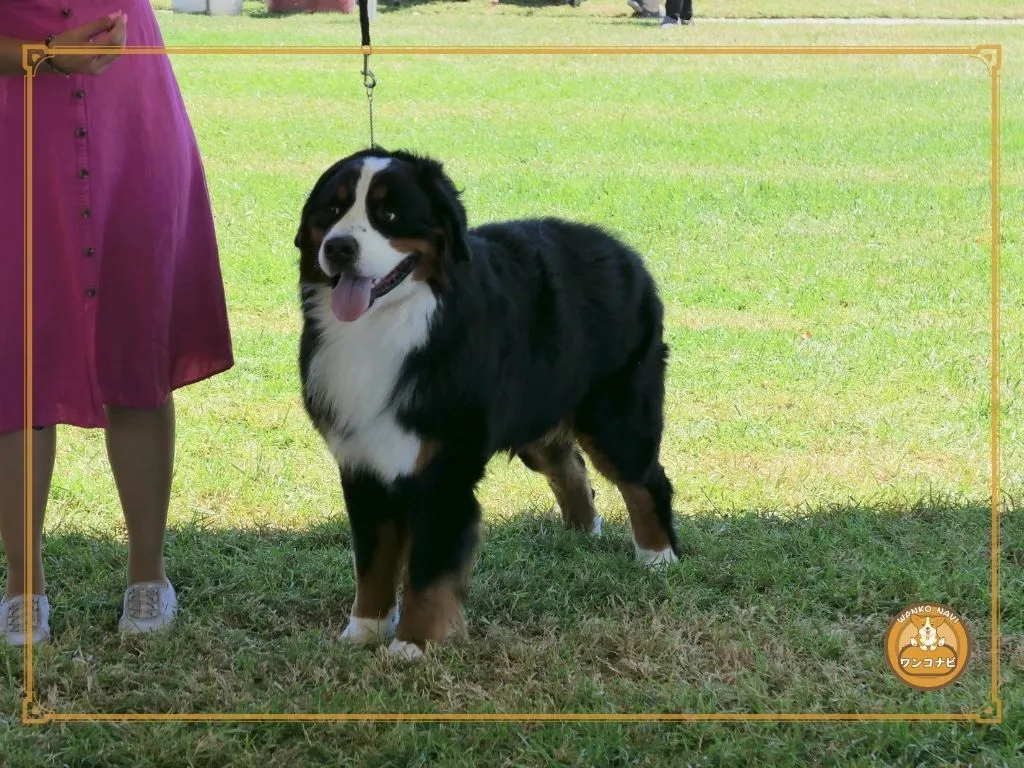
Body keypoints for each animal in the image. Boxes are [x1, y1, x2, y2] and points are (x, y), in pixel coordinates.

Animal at [294, 148, 679, 663]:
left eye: (389, 215)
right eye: (332, 210)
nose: (339, 248)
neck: (390, 328)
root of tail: (623, 251)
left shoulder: (442, 468)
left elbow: (427, 570)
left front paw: (412, 644)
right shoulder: (363, 462)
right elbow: (372, 561)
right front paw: (364, 630)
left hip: (615, 417)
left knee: (645, 481)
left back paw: (658, 556)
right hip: (537, 410)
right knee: (569, 466)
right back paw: (582, 532)